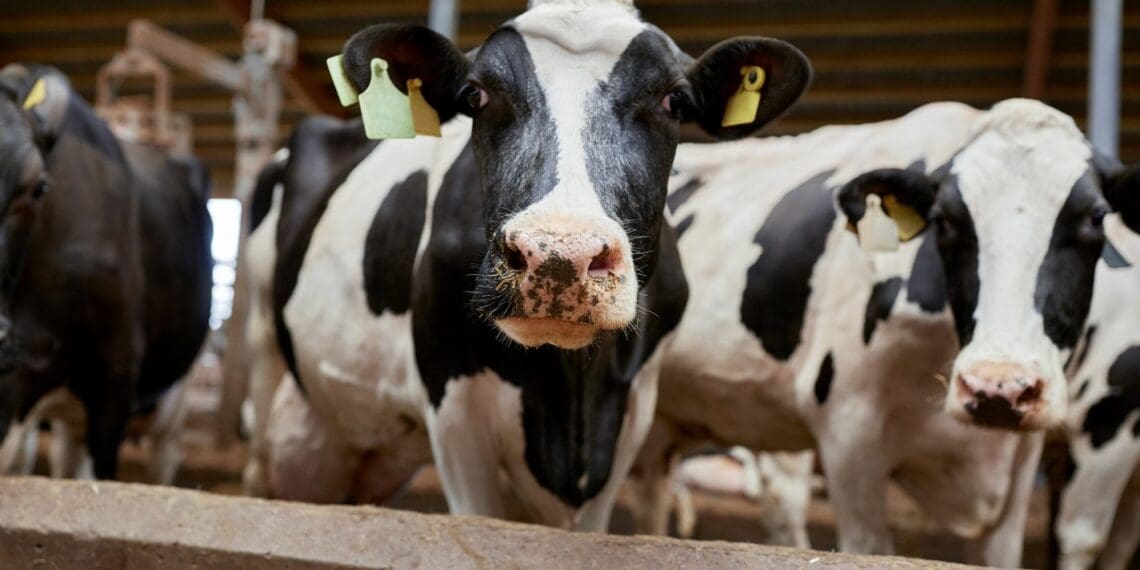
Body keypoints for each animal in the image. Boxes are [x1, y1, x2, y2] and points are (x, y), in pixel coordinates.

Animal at [243, 0, 811, 530]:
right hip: (262, 348)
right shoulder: (451, 404)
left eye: (674, 100)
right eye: (475, 95)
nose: (560, 256)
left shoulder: (632, 409)